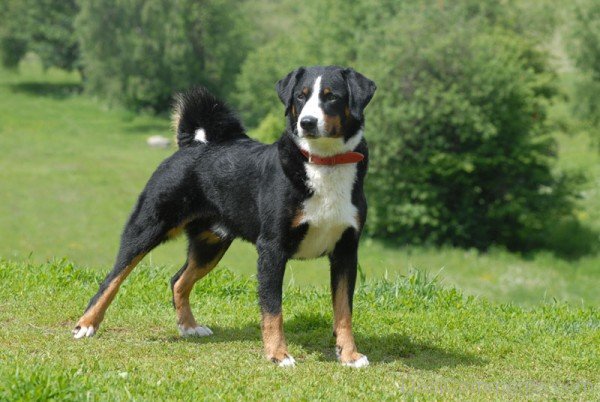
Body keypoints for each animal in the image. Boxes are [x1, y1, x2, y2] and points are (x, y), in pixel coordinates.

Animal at [72, 65, 378, 368]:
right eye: (301, 97)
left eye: (331, 96)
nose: (308, 122)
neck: (324, 163)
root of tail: (194, 145)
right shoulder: (272, 247)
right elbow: (272, 310)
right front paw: (278, 354)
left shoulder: (346, 250)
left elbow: (344, 311)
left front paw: (349, 355)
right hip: (147, 227)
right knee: (112, 278)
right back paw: (86, 324)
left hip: (210, 245)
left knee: (179, 280)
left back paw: (189, 326)